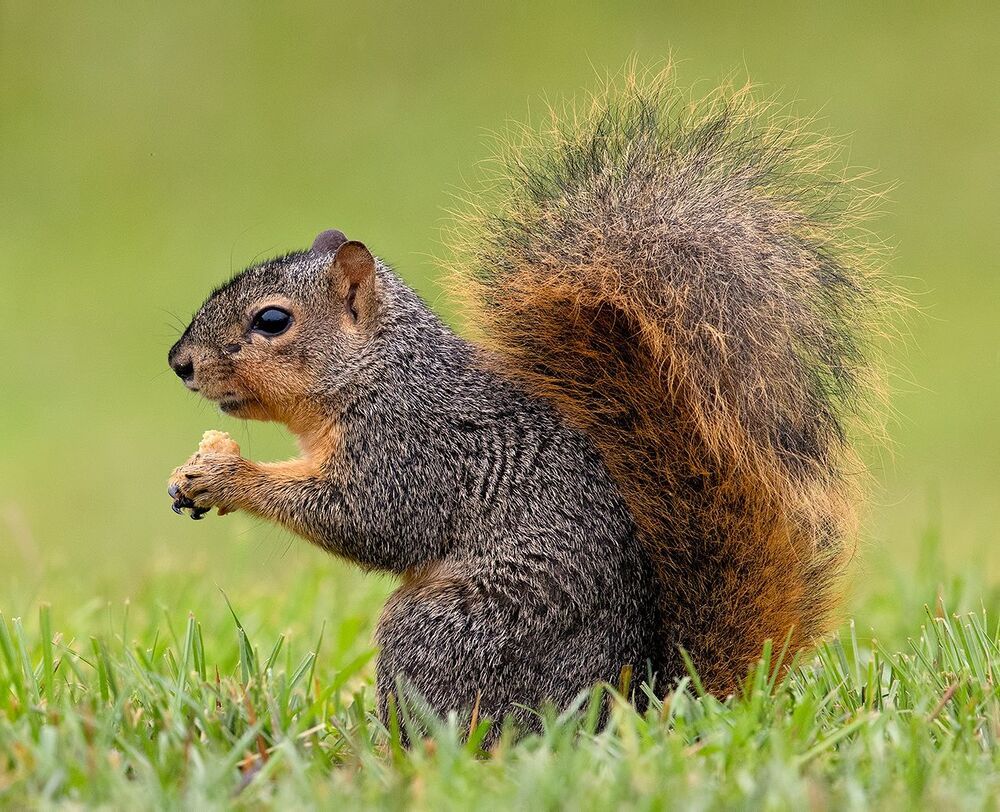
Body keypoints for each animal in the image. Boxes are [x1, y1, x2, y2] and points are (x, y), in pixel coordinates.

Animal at [166, 70, 891, 733]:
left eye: (272, 321)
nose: (180, 363)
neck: (378, 374)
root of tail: (630, 705)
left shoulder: (413, 448)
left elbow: (370, 520)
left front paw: (227, 475)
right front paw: (190, 475)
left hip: (452, 632)